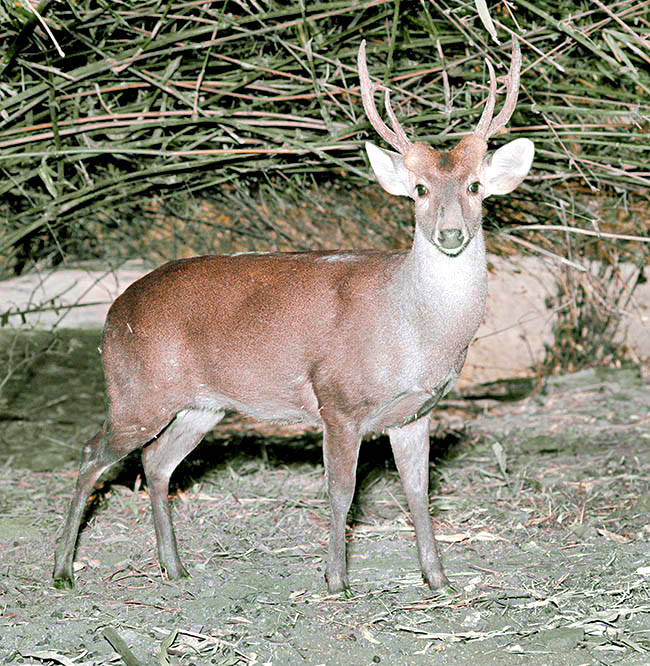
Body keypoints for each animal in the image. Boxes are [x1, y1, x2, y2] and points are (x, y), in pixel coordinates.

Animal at [53, 37, 532, 592]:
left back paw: (174, 565)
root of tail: (113, 314)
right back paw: (63, 570)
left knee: (156, 462)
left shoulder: (416, 411)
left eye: (475, 186)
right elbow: (342, 492)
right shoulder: (338, 399)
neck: (414, 329)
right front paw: (336, 581)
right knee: (92, 453)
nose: (450, 233)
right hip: (137, 391)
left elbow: (419, 493)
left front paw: (439, 580)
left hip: (200, 405)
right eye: (419, 190)